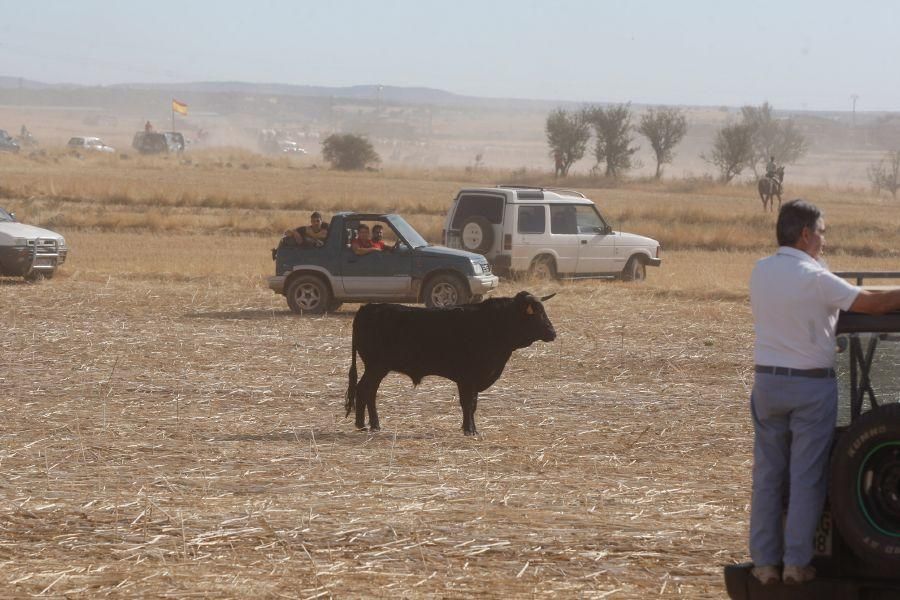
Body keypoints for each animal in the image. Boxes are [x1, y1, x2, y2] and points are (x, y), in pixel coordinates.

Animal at [344, 292, 556, 436]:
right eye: (536, 313)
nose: (553, 333)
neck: (494, 324)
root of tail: (368, 308)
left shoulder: (473, 380)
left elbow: (472, 404)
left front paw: (469, 428)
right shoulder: (467, 378)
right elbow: (468, 403)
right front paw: (470, 430)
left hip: (377, 368)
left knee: (367, 391)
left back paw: (368, 424)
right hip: (376, 367)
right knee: (365, 390)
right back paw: (367, 424)